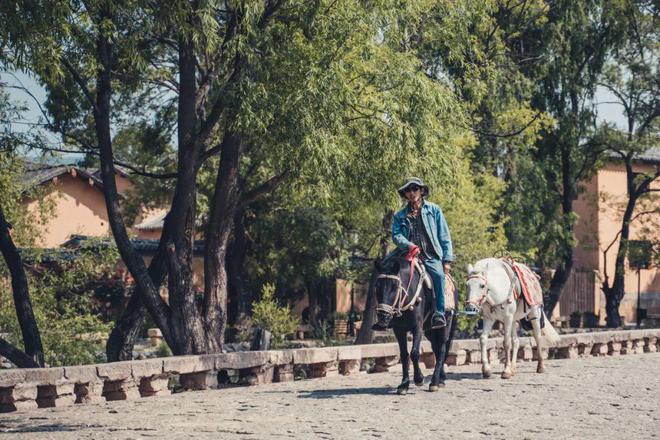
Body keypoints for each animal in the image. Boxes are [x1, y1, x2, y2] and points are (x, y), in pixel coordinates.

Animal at [374, 256, 456, 394]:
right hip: (430, 331)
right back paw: (441, 379)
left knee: (442, 349)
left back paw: (435, 382)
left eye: (395, 286)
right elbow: (404, 355)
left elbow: (415, 353)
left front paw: (419, 379)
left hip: (446, 326)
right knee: (436, 349)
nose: (383, 317)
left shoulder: (417, 327)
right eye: (377, 286)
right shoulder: (398, 329)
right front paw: (404, 384)